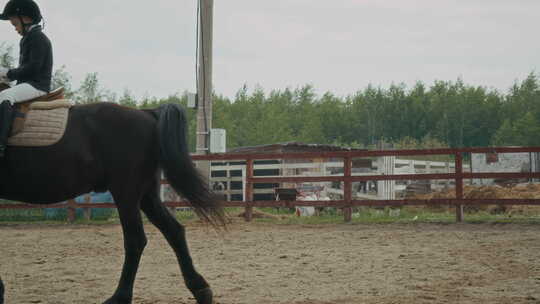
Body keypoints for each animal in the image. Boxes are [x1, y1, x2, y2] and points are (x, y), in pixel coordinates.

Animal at [0, 98, 226, 302]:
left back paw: (120, 297)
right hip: (146, 195)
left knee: (136, 240)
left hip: (126, 192)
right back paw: (201, 290)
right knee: (174, 231)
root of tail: (146, 113)